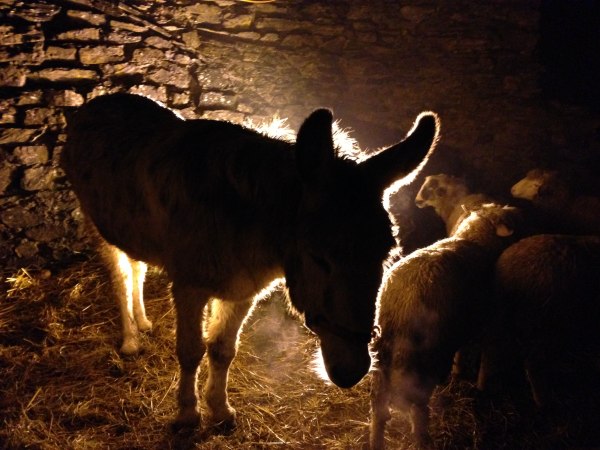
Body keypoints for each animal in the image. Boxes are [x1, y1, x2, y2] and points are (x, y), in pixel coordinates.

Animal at [368, 203, 524, 450]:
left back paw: (376, 441)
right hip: (426, 358)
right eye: (508, 218)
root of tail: (402, 304)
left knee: (378, 409)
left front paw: (458, 371)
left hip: (381, 354)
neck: (477, 241)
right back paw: (424, 440)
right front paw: (479, 386)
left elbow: (461, 350)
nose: (519, 211)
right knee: (417, 409)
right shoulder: (486, 321)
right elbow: (482, 356)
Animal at [478, 234, 600, 414]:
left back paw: (481, 387)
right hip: (542, 322)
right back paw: (544, 404)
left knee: (490, 349)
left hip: (500, 314)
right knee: (533, 363)